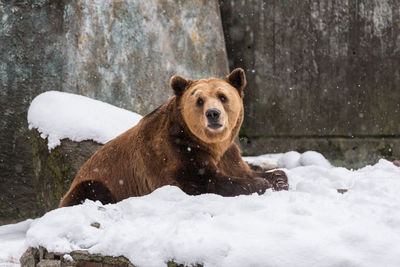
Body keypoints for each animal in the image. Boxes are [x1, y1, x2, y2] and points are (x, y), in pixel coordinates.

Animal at [59, 68, 290, 207]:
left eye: (222, 96)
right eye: (199, 100)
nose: (213, 114)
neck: (210, 144)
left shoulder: (228, 154)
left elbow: (243, 170)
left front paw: (277, 178)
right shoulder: (175, 152)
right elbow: (202, 181)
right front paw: (260, 184)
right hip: (96, 182)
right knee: (91, 190)